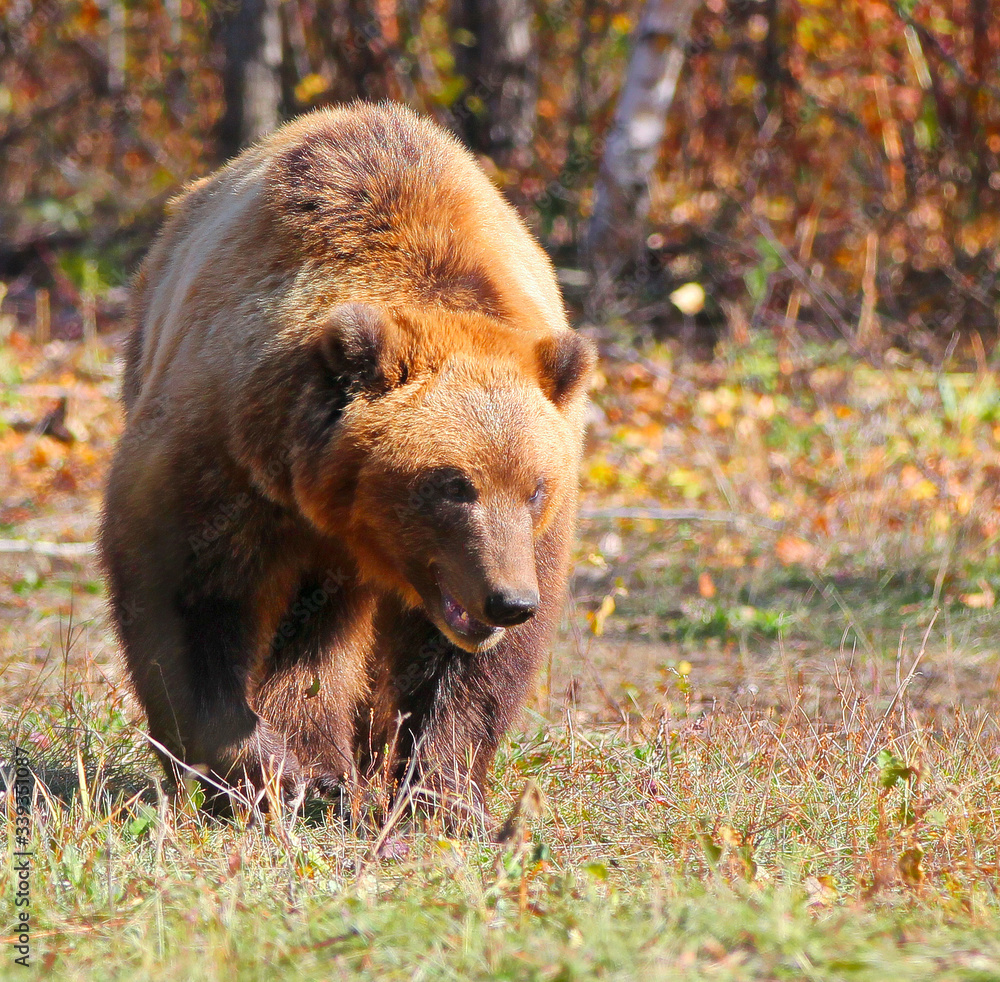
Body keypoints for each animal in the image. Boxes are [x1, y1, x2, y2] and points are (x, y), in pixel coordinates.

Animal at [99, 102, 594, 830]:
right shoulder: (223, 455)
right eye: (454, 485)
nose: (509, 602)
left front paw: (444, 796)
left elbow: (470, 675)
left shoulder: (532, 540)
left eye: (536, 488)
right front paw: (266, 772)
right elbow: (185, 602)